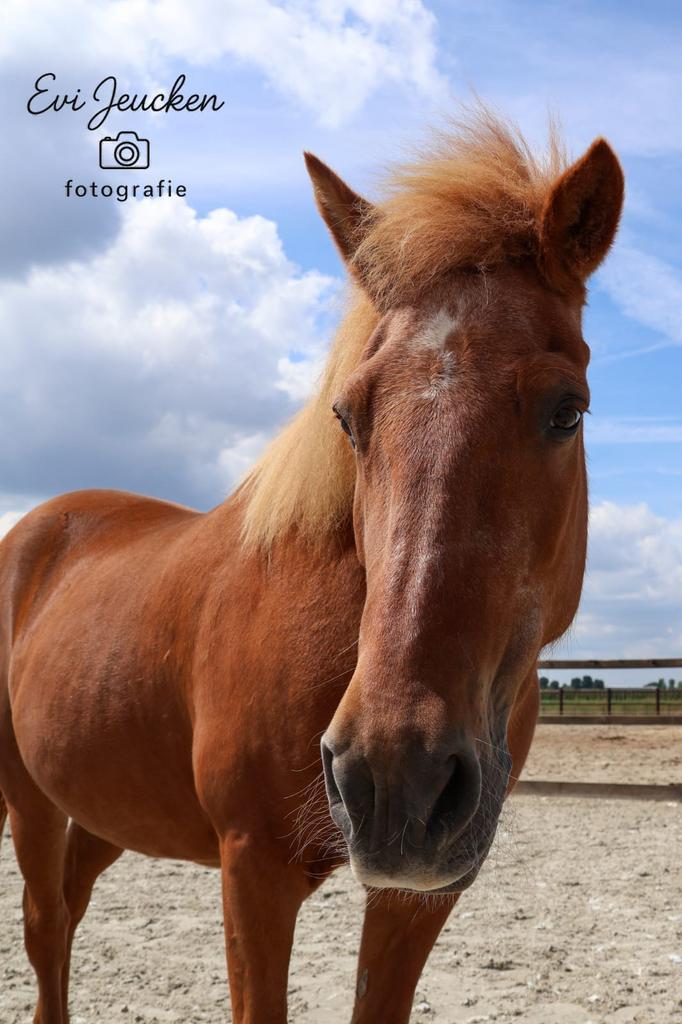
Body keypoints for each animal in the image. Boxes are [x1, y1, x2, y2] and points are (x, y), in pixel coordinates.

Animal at [0, 110, 624, 1023]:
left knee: (69, 911)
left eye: (567, 410)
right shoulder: (252, 873)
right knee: (46, 929)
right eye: (348, 417)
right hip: (30, 802)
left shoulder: (417, 894)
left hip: (105, 811)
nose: (396, 779)